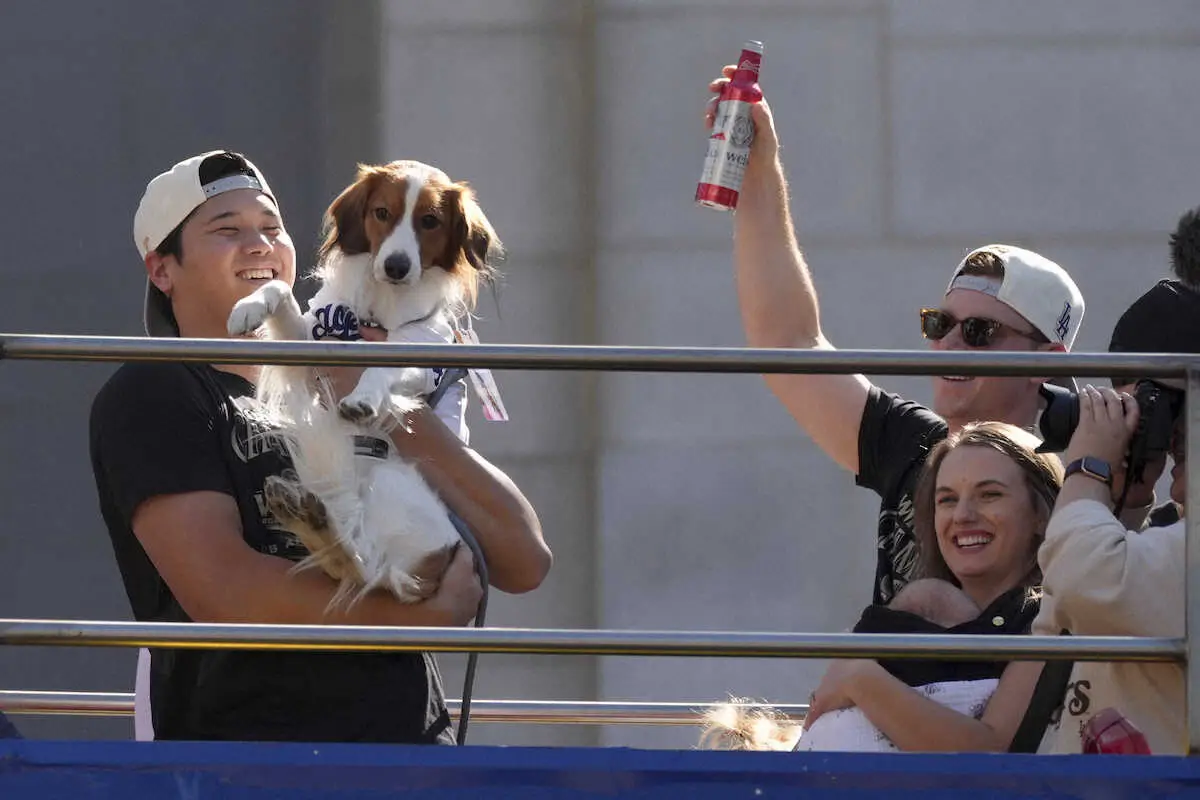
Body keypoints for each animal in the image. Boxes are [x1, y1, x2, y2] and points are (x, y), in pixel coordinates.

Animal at [226, 160, 499, 606]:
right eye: (382, 213)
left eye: (430, 221)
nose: (396, 266)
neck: (382, 307)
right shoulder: (312, 347)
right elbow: (279, 288)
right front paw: (248, 306)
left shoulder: (421, 353)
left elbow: (382, 368)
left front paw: (363, 399)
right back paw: (306, 516)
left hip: (392, 488)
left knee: (363, 566)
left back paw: (315, 523)